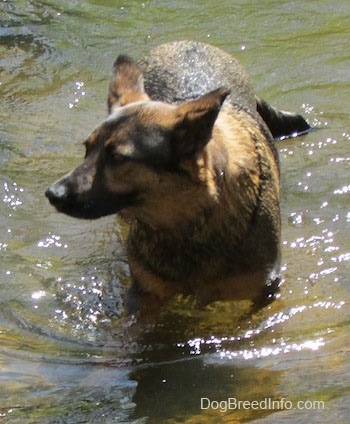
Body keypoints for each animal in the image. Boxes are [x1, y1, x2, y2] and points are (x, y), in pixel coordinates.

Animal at [45, 41, 310, 314]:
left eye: (117, 158)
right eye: (87, 149)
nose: (52, 194)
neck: (185, 223)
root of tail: (188, 42)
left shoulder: (264, 293)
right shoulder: (145, 294)